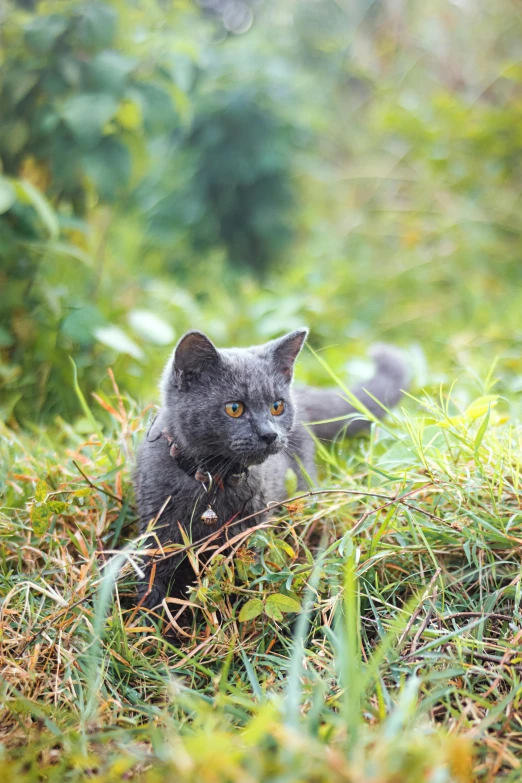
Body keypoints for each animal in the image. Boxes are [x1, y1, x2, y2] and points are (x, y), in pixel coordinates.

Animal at [133, 330, 406, 620]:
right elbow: (154, 581)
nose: (269, 434)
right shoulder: (158, 531)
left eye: (277, 406)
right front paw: (150, 619)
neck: (211, 480)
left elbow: (241, 581)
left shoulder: (249, 529)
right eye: (234, 408)